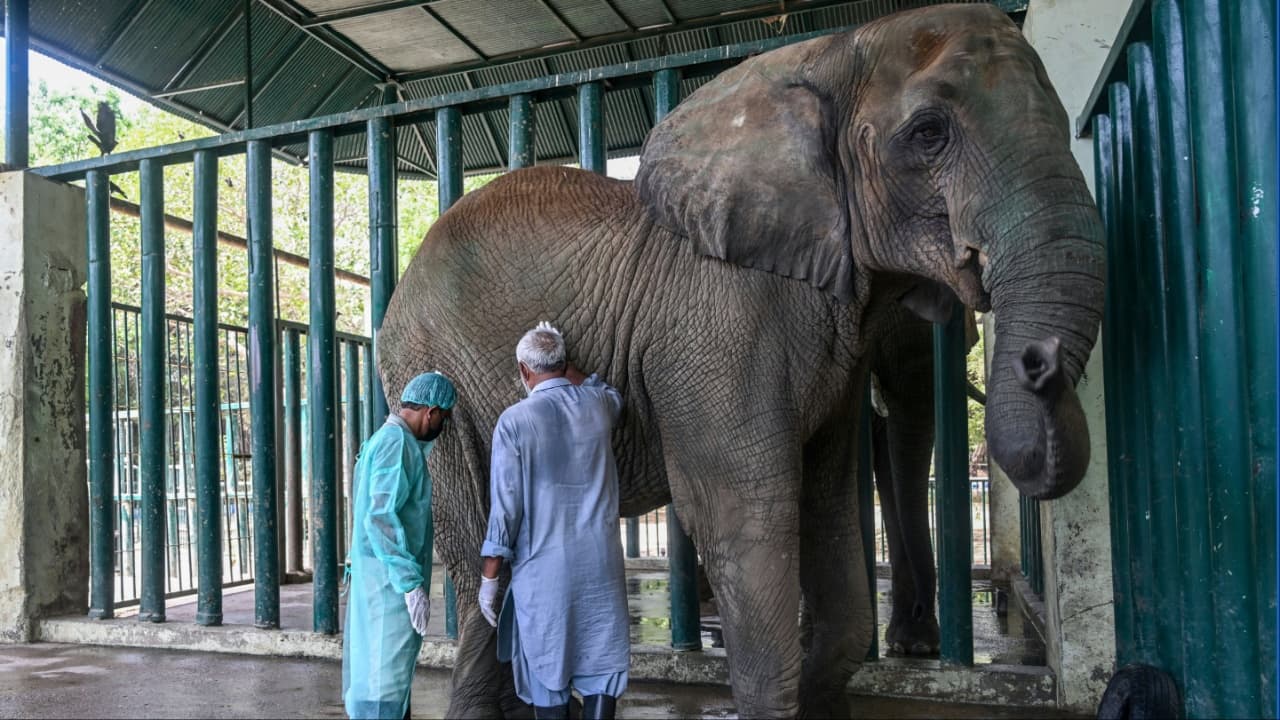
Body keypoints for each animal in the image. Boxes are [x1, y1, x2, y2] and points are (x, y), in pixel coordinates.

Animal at [376, 4, 1104, 718]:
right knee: (481, 557)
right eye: (928, 133)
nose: (1038, 364)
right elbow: (743, 517)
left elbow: (828, 507)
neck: (827, 53)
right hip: (434, 372)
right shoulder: (720, 318)